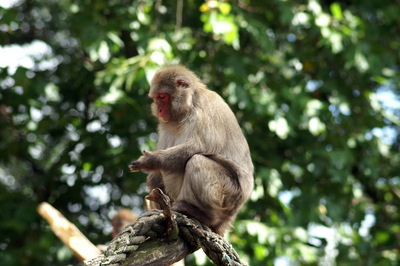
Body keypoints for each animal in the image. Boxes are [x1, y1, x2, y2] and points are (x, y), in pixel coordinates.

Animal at [130, 65, 255, 236]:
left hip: (228, 196)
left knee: (197, 161)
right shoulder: (165, 124)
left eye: (162, 97)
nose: (159, 109)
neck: (188, 106)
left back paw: (197, 212)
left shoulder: (204, 109)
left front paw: (151, 161)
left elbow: (201, 145)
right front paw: (152, 175)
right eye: (156, 98)